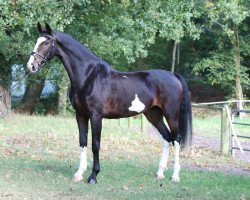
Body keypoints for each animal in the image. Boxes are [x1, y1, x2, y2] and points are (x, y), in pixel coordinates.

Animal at [27, 22, 192, 184]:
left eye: (47, 42)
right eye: (37, 41)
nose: (31, 66)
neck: (89, 76)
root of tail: (173, 75)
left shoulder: (96, 116)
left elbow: (95, 144)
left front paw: (93, 176)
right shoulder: (80, 115)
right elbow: (82, 142)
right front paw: (79, 173)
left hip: (171, 114)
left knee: (176, 139)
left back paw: (175, 176)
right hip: (154, 114)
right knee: (166, 138)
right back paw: (160, 173)